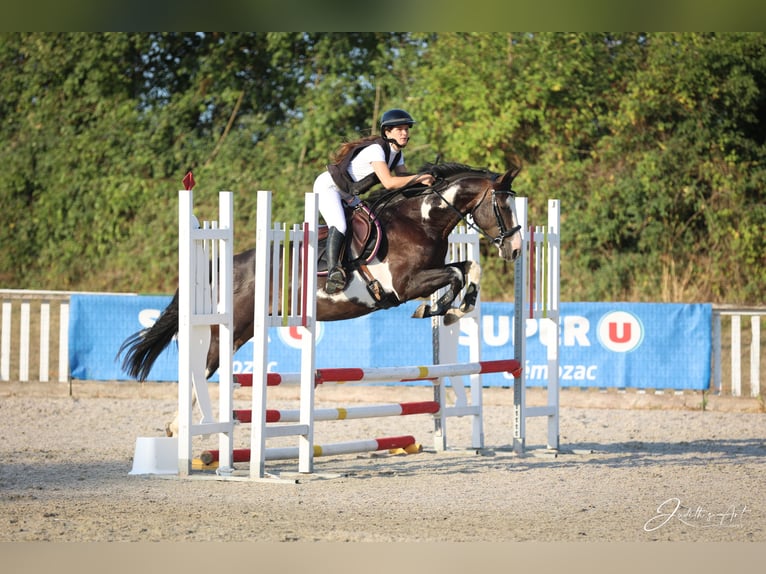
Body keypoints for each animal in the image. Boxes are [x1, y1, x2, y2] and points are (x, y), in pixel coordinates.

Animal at [118, 162, 523, 390]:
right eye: (502, 207)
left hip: (243, 331)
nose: (516, 250)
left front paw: (457, 308)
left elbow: (467, 269)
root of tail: (228, 266)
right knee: (202, 369)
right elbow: (452, 277)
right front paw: (437, 310)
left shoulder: (428, 273)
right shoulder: (405, 285)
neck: (422, 219)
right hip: (229, 330)